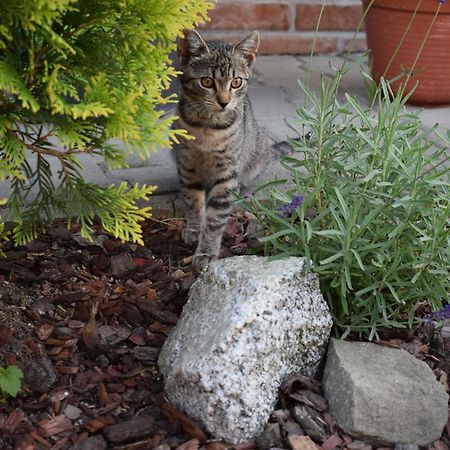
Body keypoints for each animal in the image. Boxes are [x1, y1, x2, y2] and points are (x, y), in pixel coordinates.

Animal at [174, 30, 268, 270]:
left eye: (236, 82)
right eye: (207, 81)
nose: (224, 102)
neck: (207, 127)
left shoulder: (226, 174)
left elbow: (216, 218)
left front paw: (206, 251)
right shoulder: (187, 165)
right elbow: (192, 201)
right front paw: (195, 228)